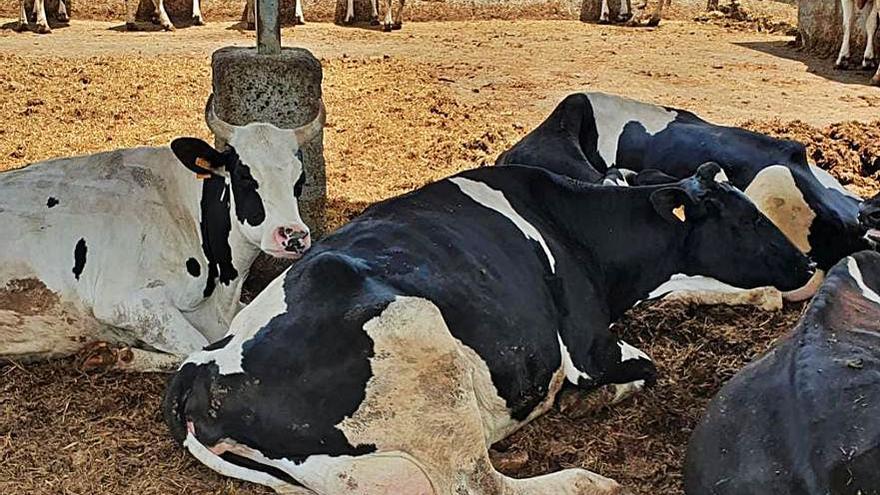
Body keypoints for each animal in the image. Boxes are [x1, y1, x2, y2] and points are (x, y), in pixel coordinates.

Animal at [0, 95, 324, 372]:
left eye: (300, 180)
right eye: (245, 176)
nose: (293, 236)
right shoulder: (124, 301)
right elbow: (196, 348)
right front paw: (113, 355)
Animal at [163, 164, 812, 495]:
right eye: (745, 219)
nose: (807, 266)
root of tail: (201, 368)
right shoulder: (590, 346)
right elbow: (647, 364)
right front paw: (593, 400)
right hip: (423, 347)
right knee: (479, 485)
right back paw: (587, 481)